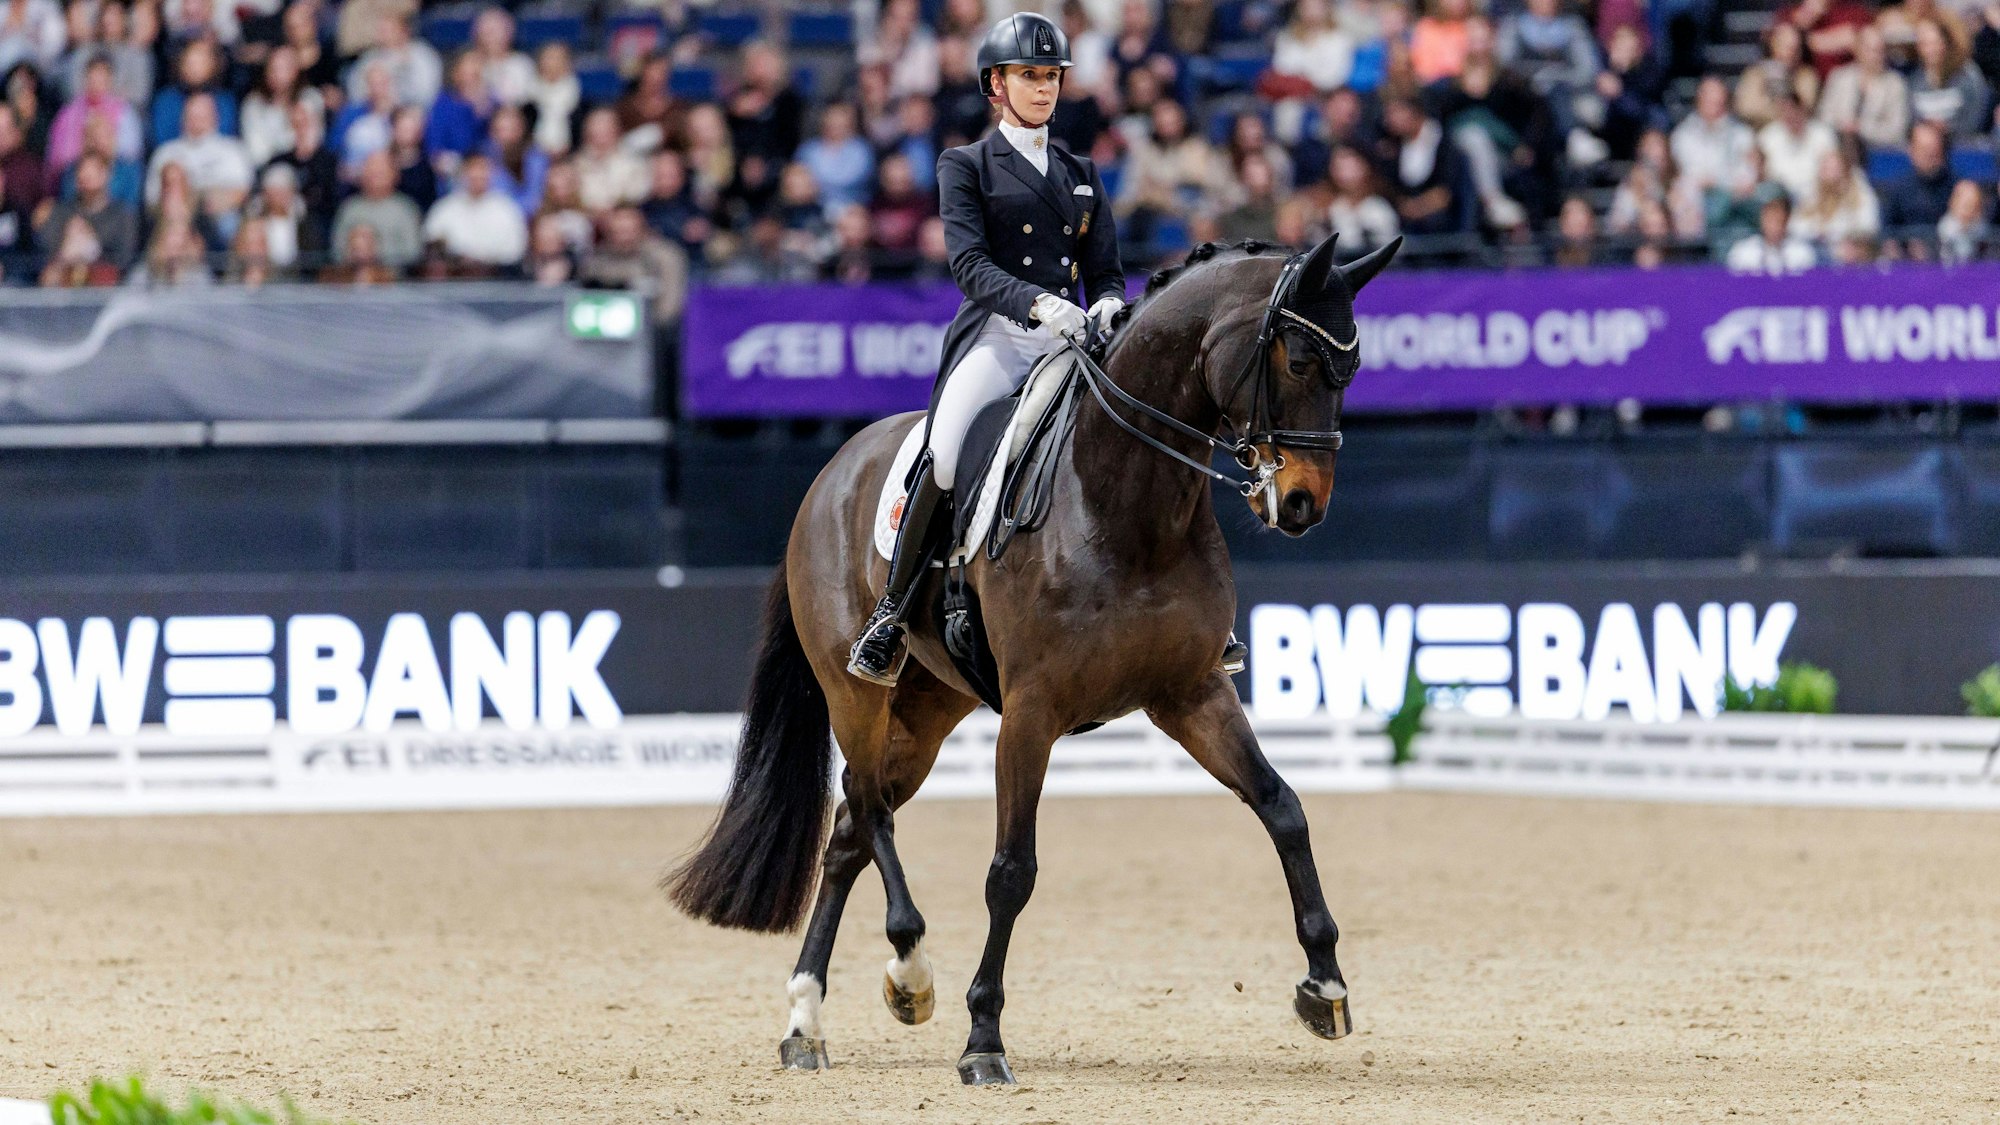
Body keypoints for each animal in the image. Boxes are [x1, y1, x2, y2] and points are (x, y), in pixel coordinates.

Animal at [666, 231, 1401, 1085]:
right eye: (1299, 362)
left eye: (1351, 371)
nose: (1304, 505)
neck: (1126, 500)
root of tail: (832, 471)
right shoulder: (1032, 712)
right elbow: (1012, 870)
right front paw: (983, 1038)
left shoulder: (1192, 692)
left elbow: (1283, 807)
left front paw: (1325, 983)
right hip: (857, 690)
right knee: (869, 806)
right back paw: (909, 971)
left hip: (929, 706)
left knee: (851, 825)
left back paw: (806, 1021)